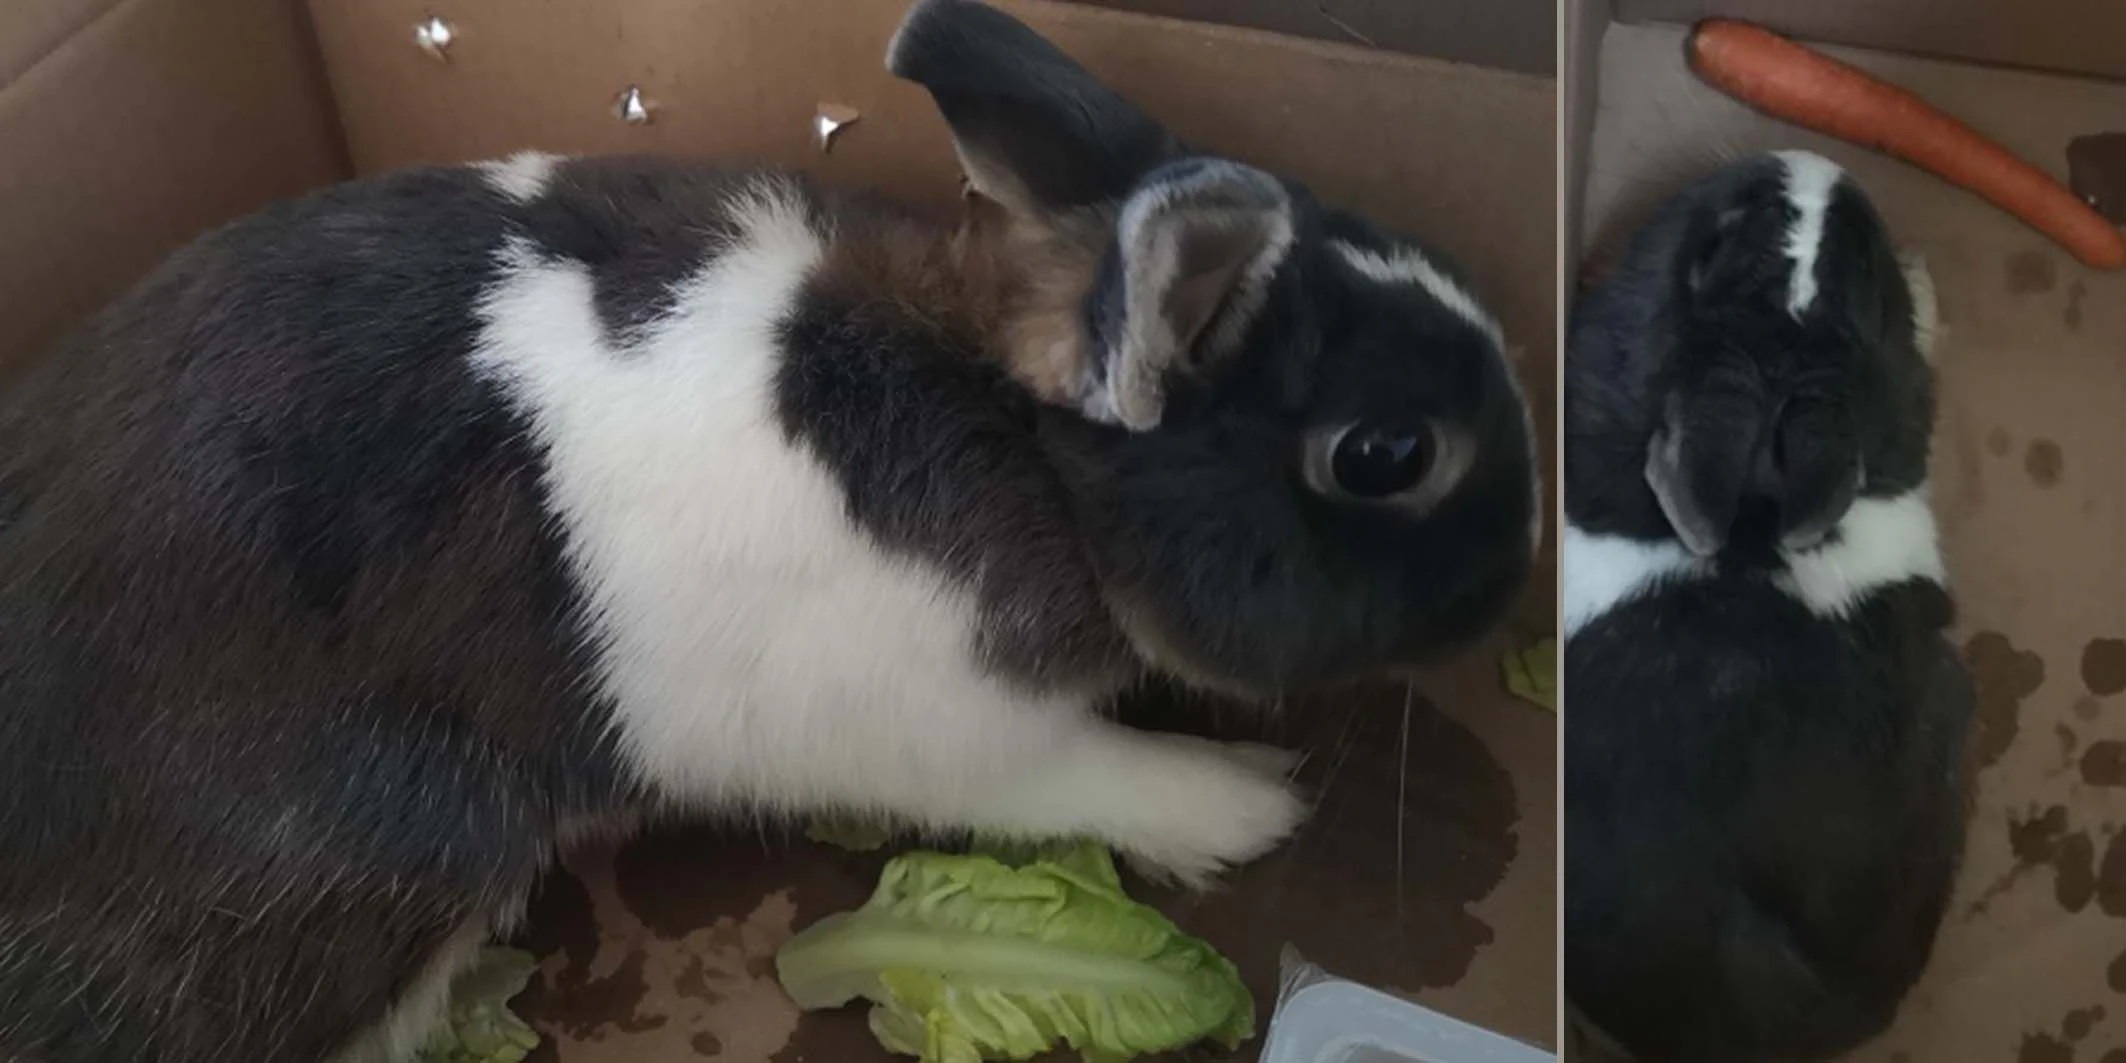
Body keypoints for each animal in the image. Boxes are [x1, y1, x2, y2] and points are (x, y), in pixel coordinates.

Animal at [0, 0, 1540, 1059]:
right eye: (1384, 455)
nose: (1525, 561)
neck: (1018, 444)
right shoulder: (959, 736)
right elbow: (1097, 775)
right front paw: (1247, 802)